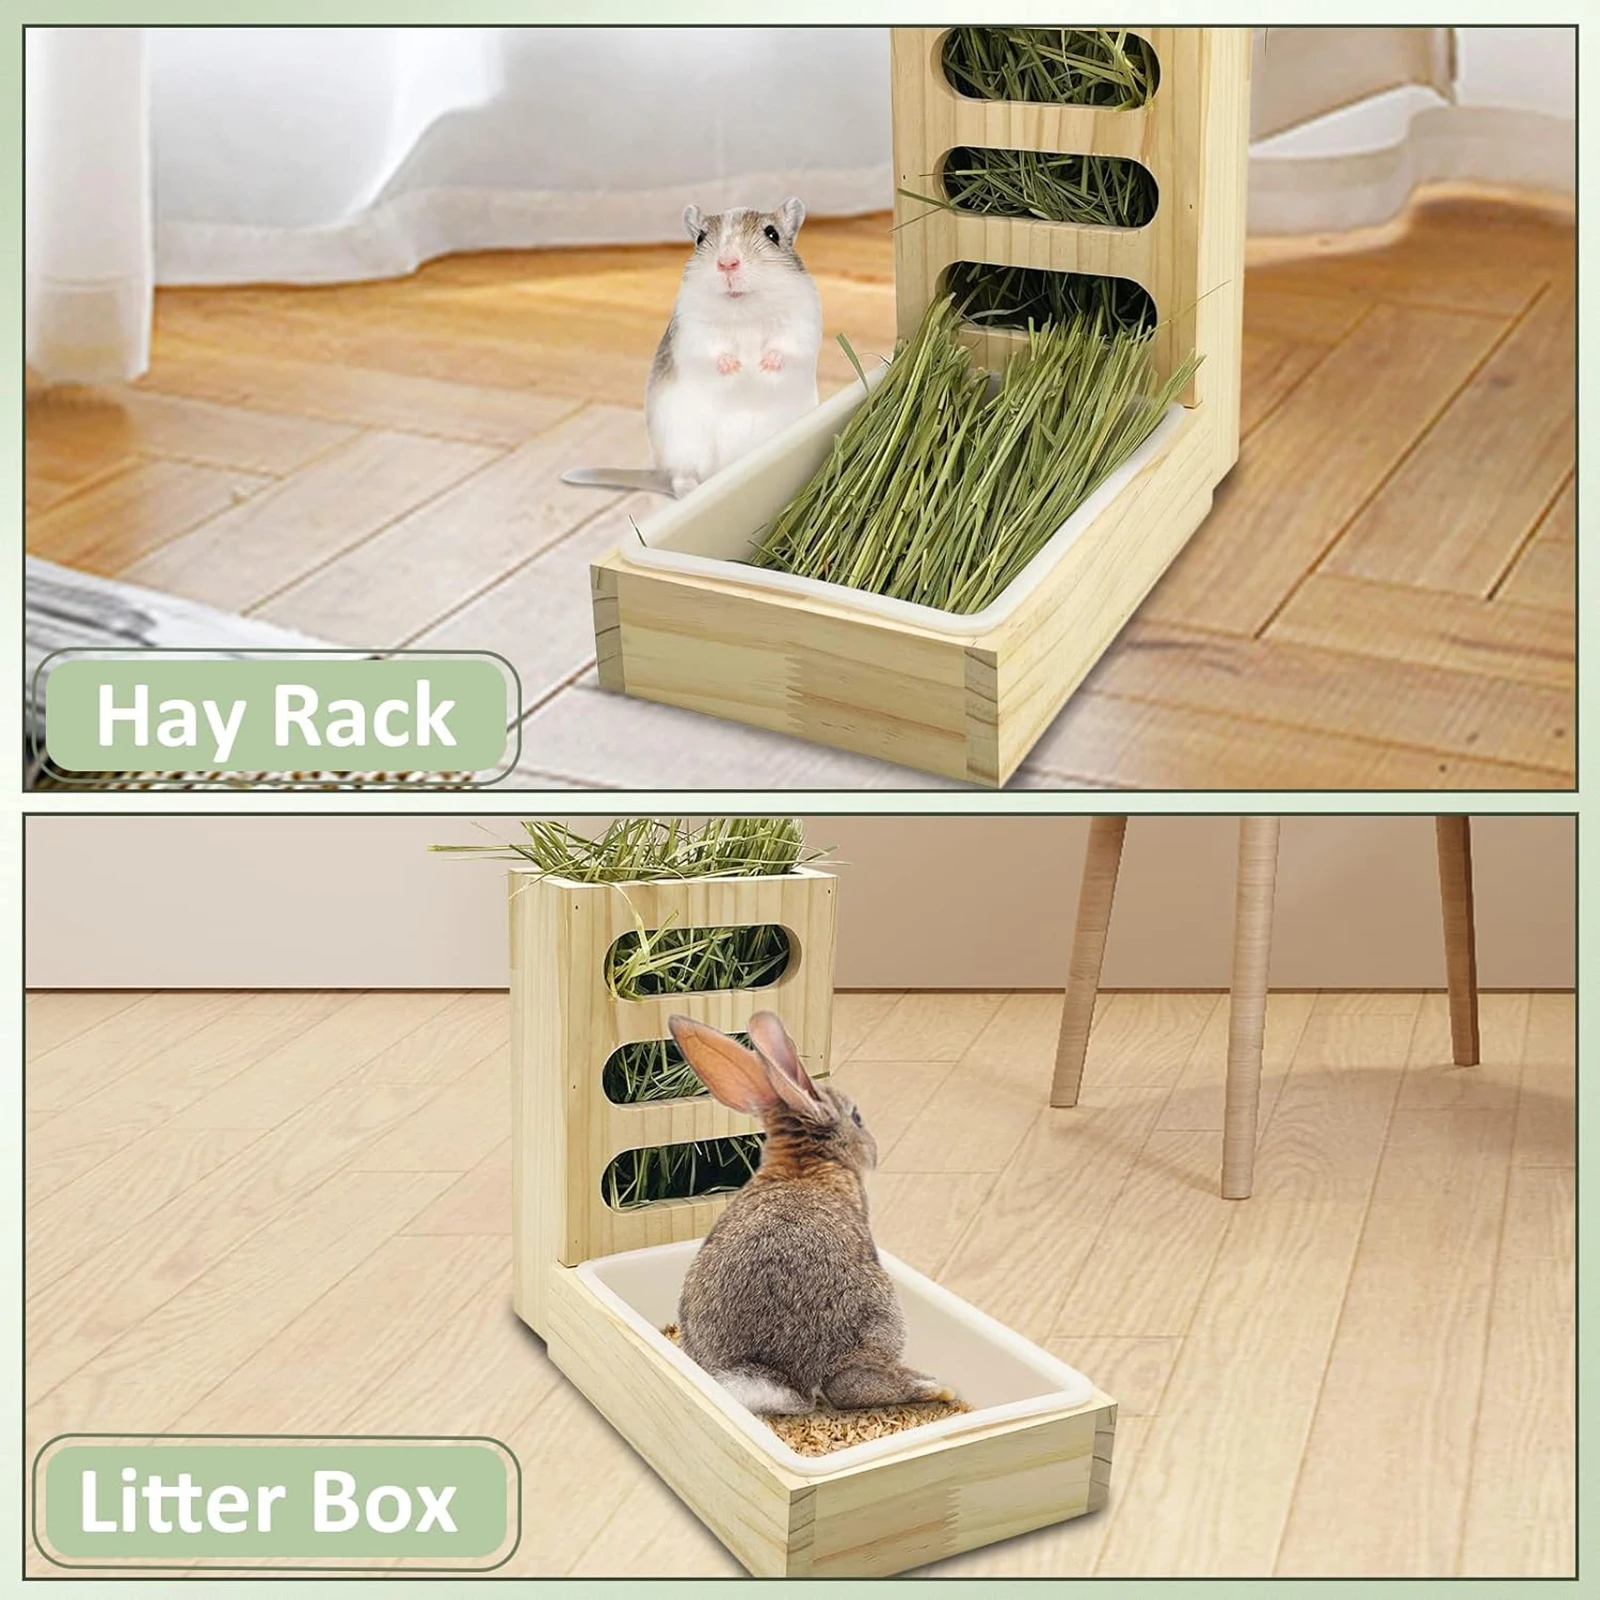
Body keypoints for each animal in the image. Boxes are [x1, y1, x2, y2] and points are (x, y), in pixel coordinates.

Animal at [561, 198, 822, 499]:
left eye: (772, 234)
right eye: (700, 238)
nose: (727, 263)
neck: (742, 304)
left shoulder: (802, 322)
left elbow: (787, 345)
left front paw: (762, 366)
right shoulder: (693, 330)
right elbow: (711, 351)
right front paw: (737, 368)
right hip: (683, 446)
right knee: (680, 478)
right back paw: (691, 492)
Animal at [666, 1010, 955, 1416]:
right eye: (857, 1117)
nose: (874, 1150)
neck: (806, 1161)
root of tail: (778, 1378)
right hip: (878, 1318)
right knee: (846, 1384)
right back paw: (933, 1388)